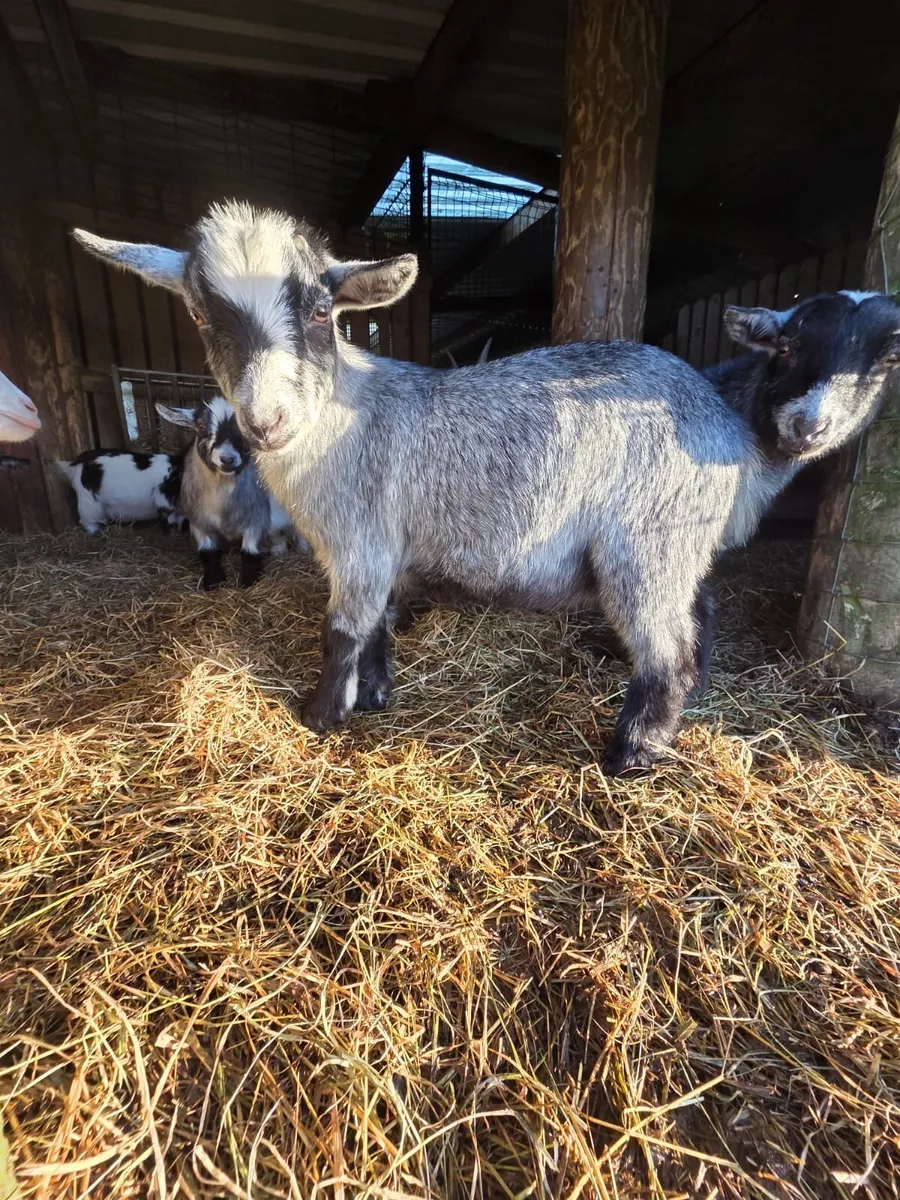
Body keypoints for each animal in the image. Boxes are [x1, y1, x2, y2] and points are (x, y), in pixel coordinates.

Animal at [156, 395, 298, 589]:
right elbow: (207, 552)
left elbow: (249, 551)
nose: (227, 459)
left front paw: (249, 581)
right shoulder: (199, 522)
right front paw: (213, 581)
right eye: (201, 426)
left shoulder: (256, 517)